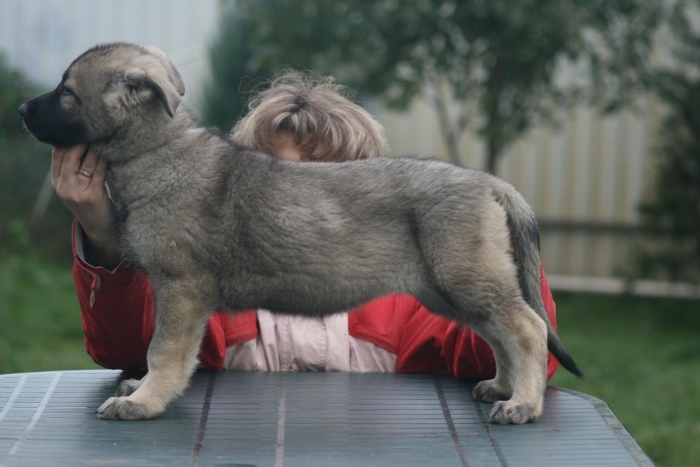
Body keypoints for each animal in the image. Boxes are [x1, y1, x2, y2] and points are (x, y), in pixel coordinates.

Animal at [20, 43, 580, 424]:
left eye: (67, 93)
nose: (21, 111)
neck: (157, 149)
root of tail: (491, 182)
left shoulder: (180, 288)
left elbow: (164, 351)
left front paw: (145, 400)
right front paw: (140, 389)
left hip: (463, 277)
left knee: (526, 328)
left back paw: (523, 404)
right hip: (451, 288)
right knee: (500, 332)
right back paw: (502, 387)